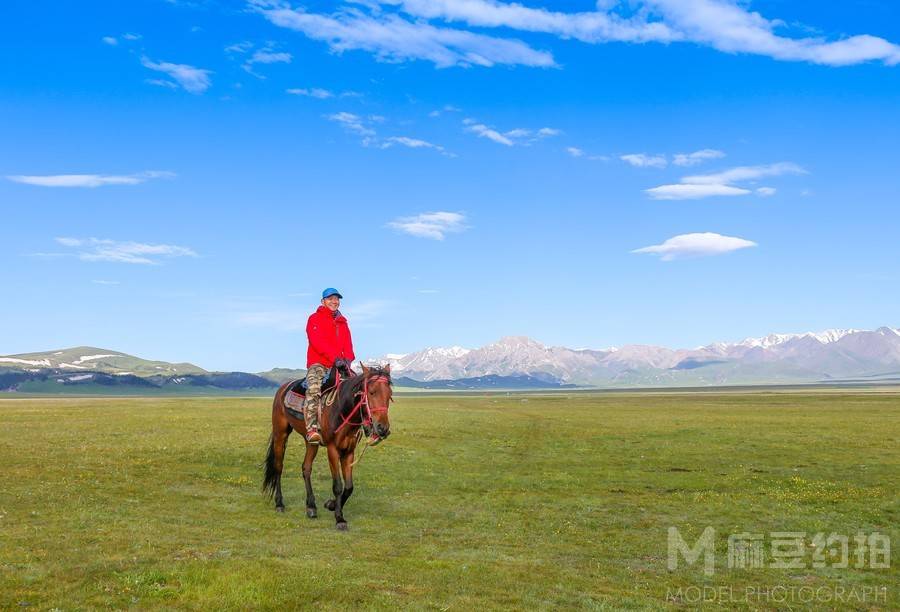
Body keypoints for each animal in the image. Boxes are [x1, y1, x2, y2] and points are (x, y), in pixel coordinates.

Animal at [256, 364, 390, 532]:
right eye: (372, 392)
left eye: (390, 394)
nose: (383, 428)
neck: (341, 409)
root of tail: (282, 388)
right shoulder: (332, 449)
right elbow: (338, 485)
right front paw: (339, 519)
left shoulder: (349, 451)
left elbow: (349, 487)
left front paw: (331, 505)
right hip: (281, 434)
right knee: (278, 467)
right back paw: (280, 503)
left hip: (311, 442)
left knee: (306, 468)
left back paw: (311, 506)